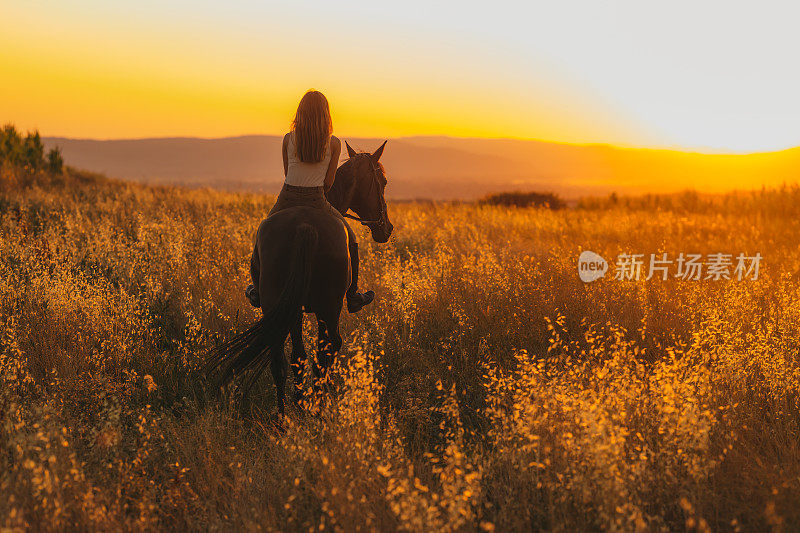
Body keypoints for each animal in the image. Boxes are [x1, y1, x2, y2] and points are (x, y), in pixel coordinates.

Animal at [208, 140, 392, 412]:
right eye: (383, 181)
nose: (386, 228)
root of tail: (305, 227)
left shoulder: (292, 310)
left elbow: (298, 357)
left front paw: (300, 401)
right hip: (330, 308)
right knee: (326, 351)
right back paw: (318, 409)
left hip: (278, 304)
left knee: (281, 362)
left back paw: (284, 416)